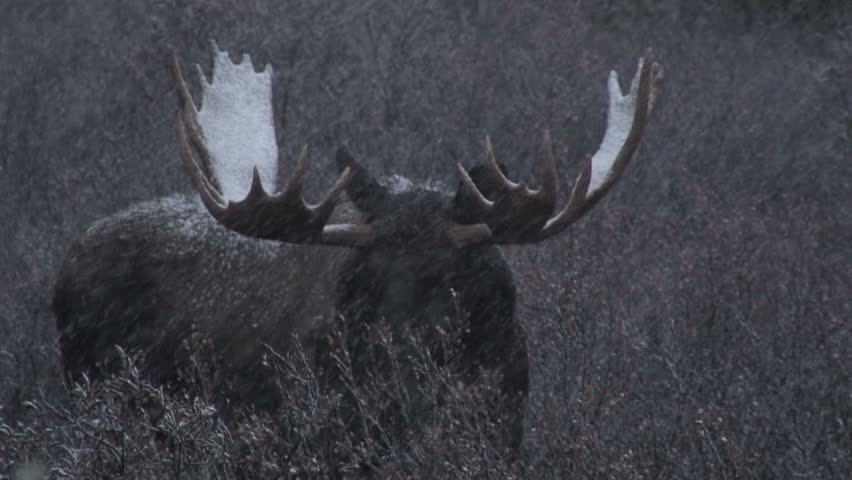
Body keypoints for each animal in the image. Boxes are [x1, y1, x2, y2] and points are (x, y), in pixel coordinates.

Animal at [53, 42, 661, 455]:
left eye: (454, 277)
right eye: (363, 276)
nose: (397, 363)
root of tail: (71, 255)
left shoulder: (505, 434)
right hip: (94, 400)